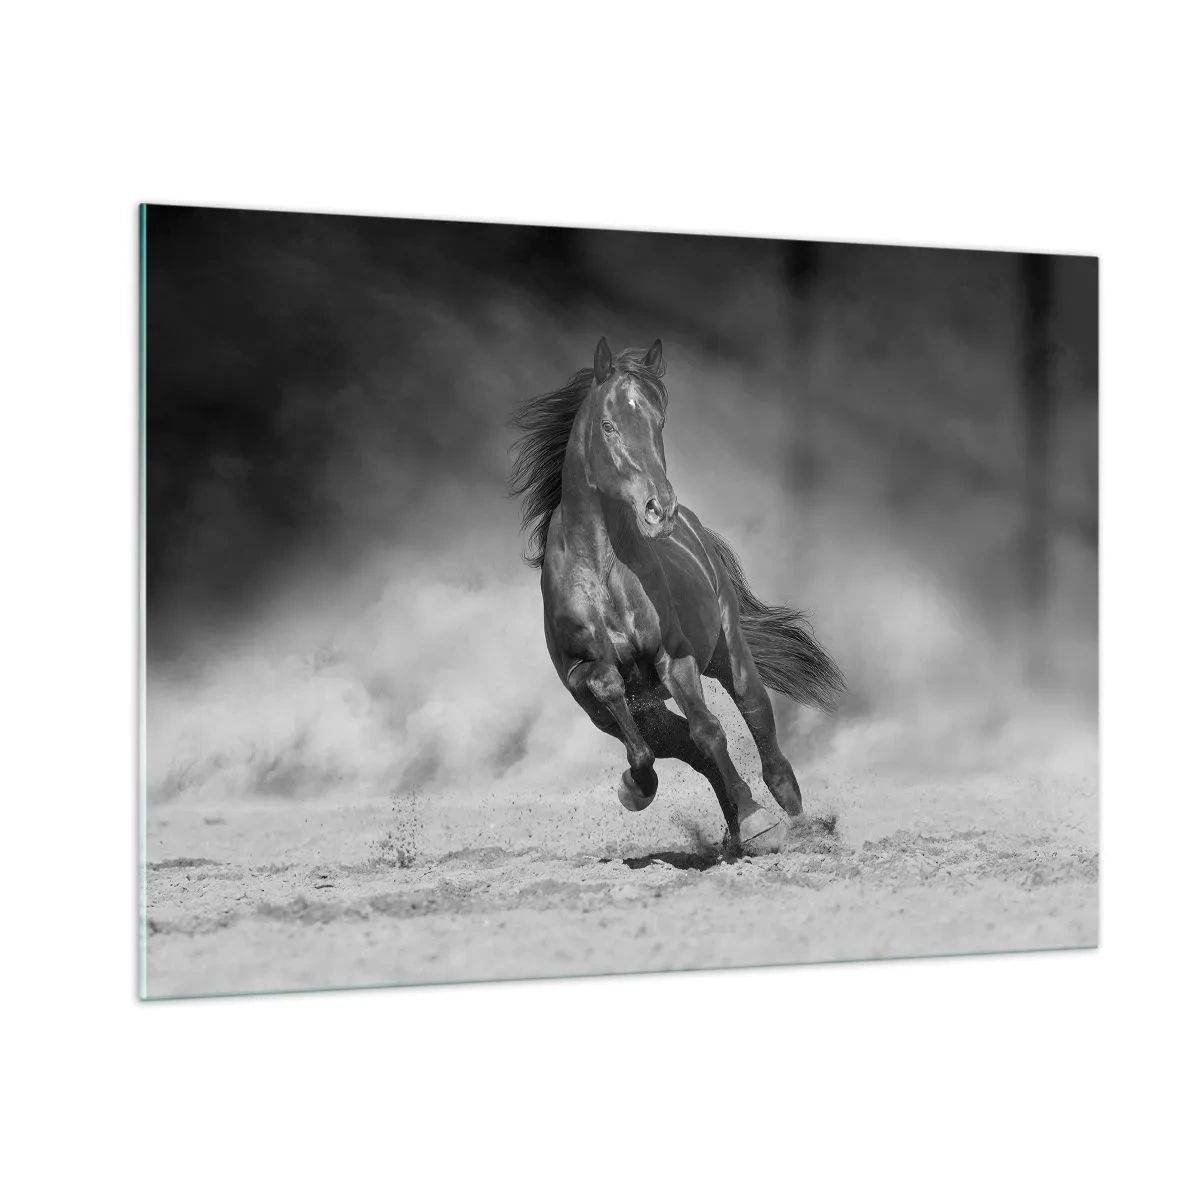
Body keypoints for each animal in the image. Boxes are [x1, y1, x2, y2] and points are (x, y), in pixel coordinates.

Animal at [508, 337, 844, 854]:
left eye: (658, 422)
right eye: (608, 425)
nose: (658, 508)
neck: (603, 573)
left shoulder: (674, 657)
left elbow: (710, 731)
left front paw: (757, 821)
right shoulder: (586, 679)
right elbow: (635, 726)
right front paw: (635, 789)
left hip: (729, 655)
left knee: (756, 720)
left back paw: (791, 821)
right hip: (628, 711)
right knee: (679, 746)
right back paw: (729, 829)